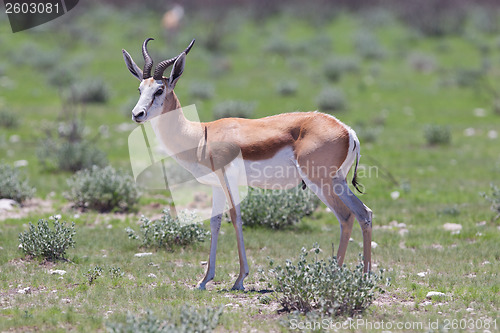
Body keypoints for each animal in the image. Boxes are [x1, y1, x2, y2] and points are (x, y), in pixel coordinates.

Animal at [121, 37, 372, 290]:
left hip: (319, 182)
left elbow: (235, 218)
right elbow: (215, 222)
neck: (201, 135)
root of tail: (347, 131)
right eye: (140, 89)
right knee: (364, 213)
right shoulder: (216, 184)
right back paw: (365, 277)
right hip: (337, 181)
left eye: (159, 89)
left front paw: (240, 279)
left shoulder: (228, 178)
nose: (137, 114)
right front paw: (205, 280)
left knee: (345, 216)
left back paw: (336, 275)